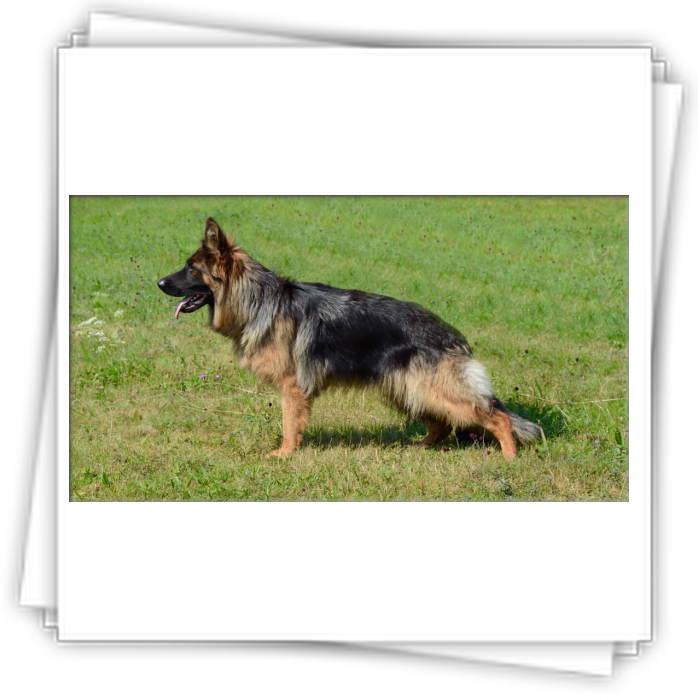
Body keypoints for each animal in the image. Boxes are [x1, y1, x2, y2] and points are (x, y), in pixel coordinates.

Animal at [157, 217, 542, 460]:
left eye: (192, 269)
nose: (159, 282)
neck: (259, 300)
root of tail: (452, 335)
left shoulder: (292, 387)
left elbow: (288, 425)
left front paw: (284, 455)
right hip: (407, 389)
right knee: (443, 424)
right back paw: (421, 446)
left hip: (433, 389)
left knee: (496, 416)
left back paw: (510, 458)